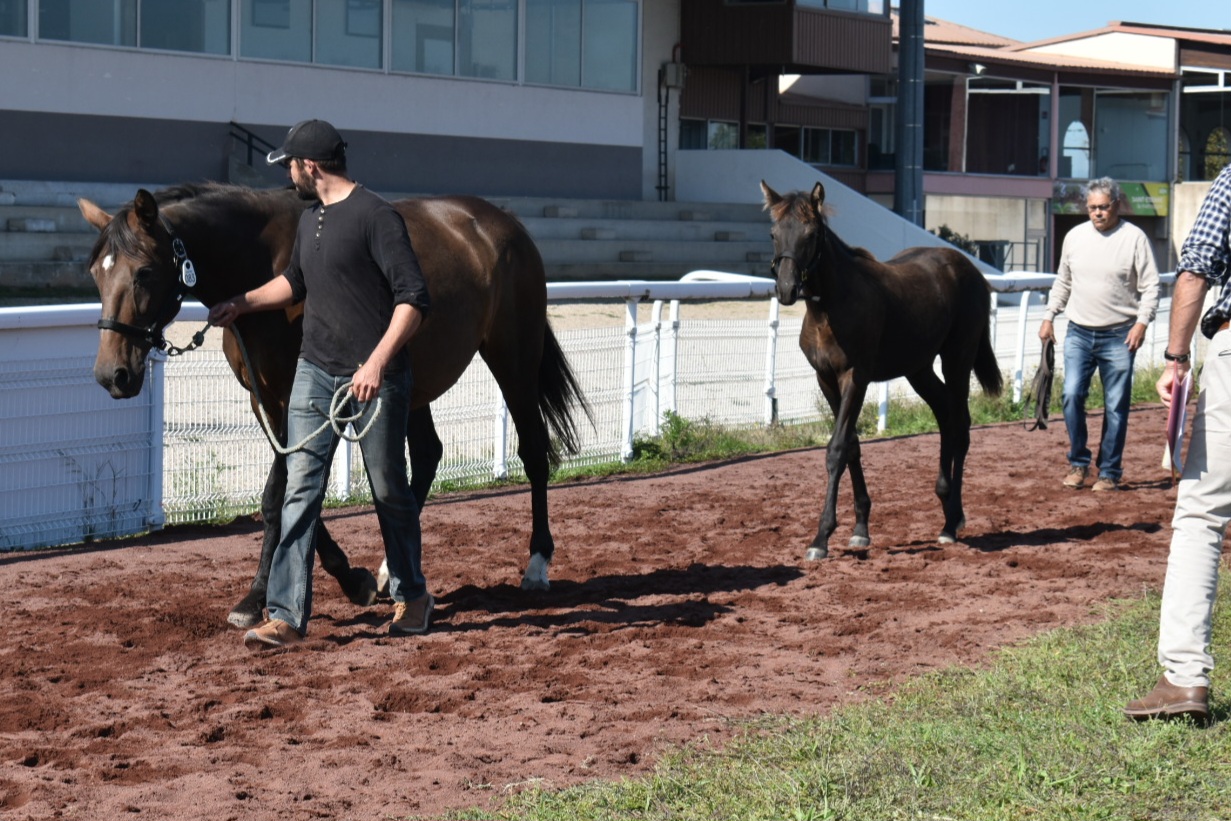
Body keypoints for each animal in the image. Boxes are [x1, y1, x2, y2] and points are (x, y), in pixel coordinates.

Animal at [79, 180, 588, 630]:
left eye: (144, 271)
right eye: (96, 274)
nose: (111, 375)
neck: (262, 263)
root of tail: (503, 223)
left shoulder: (298, 396)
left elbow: (278, 496)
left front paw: (258, 597)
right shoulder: (267, 401)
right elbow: (295, 492)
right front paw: (350, 580)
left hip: (514, 359)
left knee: (533, 451)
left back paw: (536, 564)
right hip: (411, 383)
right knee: (425, 457)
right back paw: (389, 572)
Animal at [758, 180, 999, 558]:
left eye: (811, 233)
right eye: (773, 233)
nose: (786, 288)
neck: (830, 308)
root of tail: (969, 268)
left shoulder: (855, 378)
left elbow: (837, 448)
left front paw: (821, 537)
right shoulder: (826, 380)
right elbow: (852, 445)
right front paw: (860, 529)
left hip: (957, 359)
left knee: (960, 425)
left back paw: (952, 521)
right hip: (919, 369)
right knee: (945, 416)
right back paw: (946, 506)